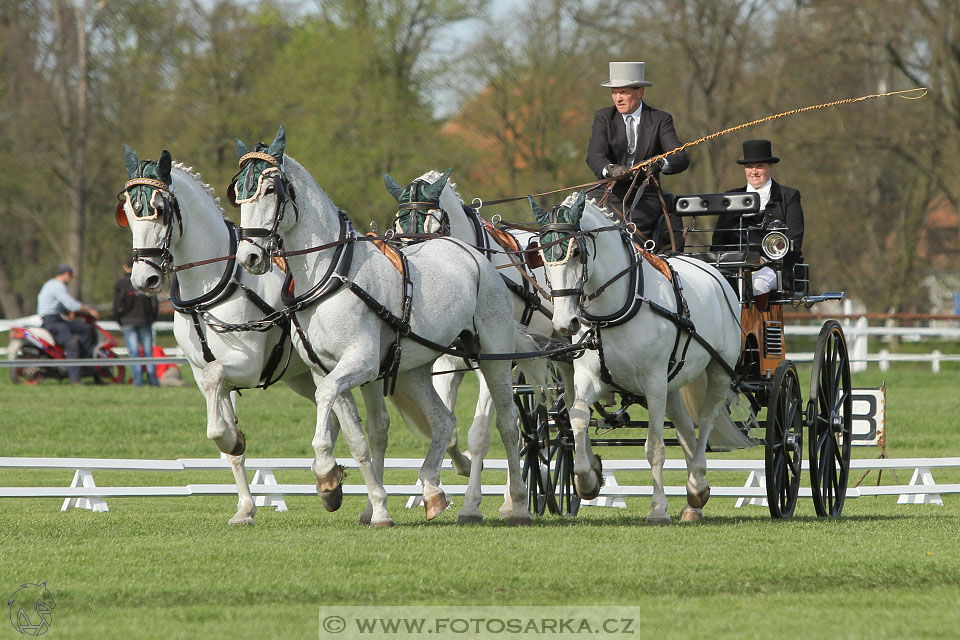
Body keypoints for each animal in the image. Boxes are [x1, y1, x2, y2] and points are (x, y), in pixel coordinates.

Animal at [117, 148, 322, 528]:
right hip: (306, 379)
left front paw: (233, 439)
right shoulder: (202, 374)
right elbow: (226, 442)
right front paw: (245, 506)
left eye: (160, 209)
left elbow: (218, 393)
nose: (144, 279)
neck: (215, 283)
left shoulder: (246, 365)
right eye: (127, 213)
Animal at [229, 125, 536, 524]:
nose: (249, 256)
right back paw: (433, 491)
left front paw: (326, 474)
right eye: (238, 193)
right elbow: (357, 438)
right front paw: (369, 504)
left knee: (507, 424)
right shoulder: (325, 369)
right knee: (443, 422)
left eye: (269, 190)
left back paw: (516, 504)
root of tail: (475, 255)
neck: (331, 273)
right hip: (415, 369)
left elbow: (327, 401)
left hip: (494, 359)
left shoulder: (361, 364)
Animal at [532, 192, 752, 524]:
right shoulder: (590, 378)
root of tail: (716, 273)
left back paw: (697, 483)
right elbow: (578, 419)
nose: (564, 322)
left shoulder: (653, 384)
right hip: (673, 383)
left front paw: (658, 508)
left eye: (577, 252)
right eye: (542, 255)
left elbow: (655, 448)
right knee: (685, 428)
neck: (616, 309)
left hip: (717, 371)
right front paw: (588, 479)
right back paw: (694, 495)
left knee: (705, 422)